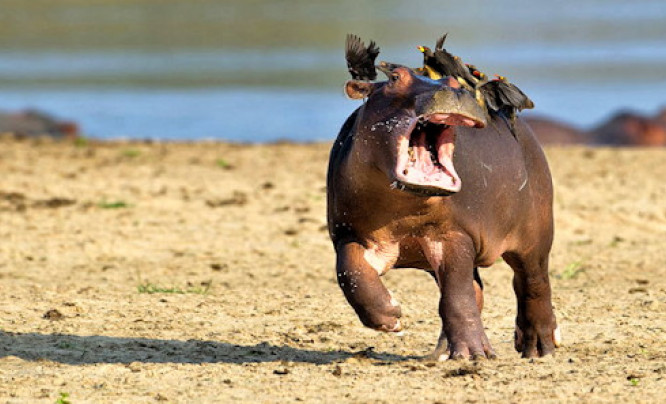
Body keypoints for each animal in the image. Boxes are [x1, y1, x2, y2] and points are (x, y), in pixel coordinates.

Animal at [326, 68, 560, 362]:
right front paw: (391, 317)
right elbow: (351, 273)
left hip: (535, 236)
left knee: (532, 283)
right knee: (477, 291)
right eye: (394, 77)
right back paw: (442, 353)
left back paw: (538, 348)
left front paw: (473, 354)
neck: (403, 209)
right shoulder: (350, 234)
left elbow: (457, 295)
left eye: (452, 81)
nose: (454, 91)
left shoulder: (454, 234)